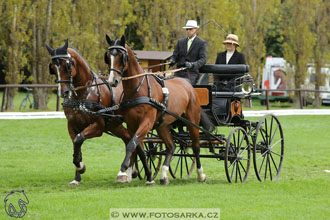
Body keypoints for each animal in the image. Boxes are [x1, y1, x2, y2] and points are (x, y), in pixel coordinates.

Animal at [45, 40, 152, 186]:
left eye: (67, 65)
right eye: (52, 68)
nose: (64, 92)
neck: (83, 94)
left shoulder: (98, 127)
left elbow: (79, 140)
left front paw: (81, 167)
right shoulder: (72, 126)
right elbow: (76, 148)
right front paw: (77, 176)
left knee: (133, 141)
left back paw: (129, 172)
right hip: (115, 125)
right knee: (129, 140)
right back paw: (130, 172)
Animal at [104, 35, 206, 184]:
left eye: (122, 56)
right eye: (107, 57)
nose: (113, 81)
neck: (138, 89)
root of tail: (188, 84)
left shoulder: (146, 122)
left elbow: (131, 144)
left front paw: (122, 171)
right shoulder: (131, 125)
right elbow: (138, 149)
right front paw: (145, 176)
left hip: (192, 121)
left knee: (196, 146)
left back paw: (201, 174)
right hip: (162, 125)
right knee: (171, 146)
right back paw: (164, 175)